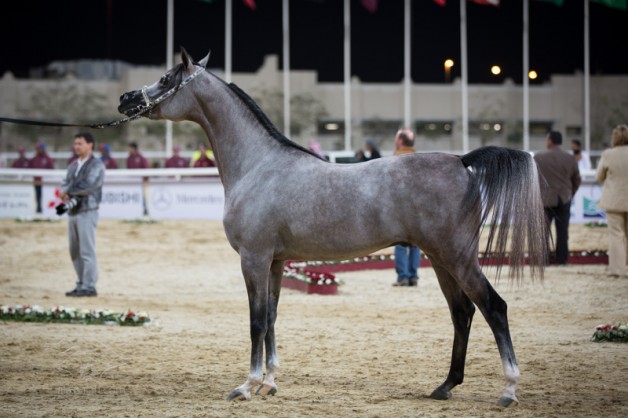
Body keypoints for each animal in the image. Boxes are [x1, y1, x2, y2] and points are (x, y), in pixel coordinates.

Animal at [118, 47, 544, 406]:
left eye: (167, 77)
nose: (126, 99)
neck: (258, 165)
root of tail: (462, 160)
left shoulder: (253, 259)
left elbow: (256, 321)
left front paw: (247, 386)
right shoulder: (276, 262)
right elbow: (271, 319)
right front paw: (270, 383)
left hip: (457, 258)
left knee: (493, 307)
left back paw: (508, 390)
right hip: (440, 260)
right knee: (462, 313)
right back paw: (445, 386)